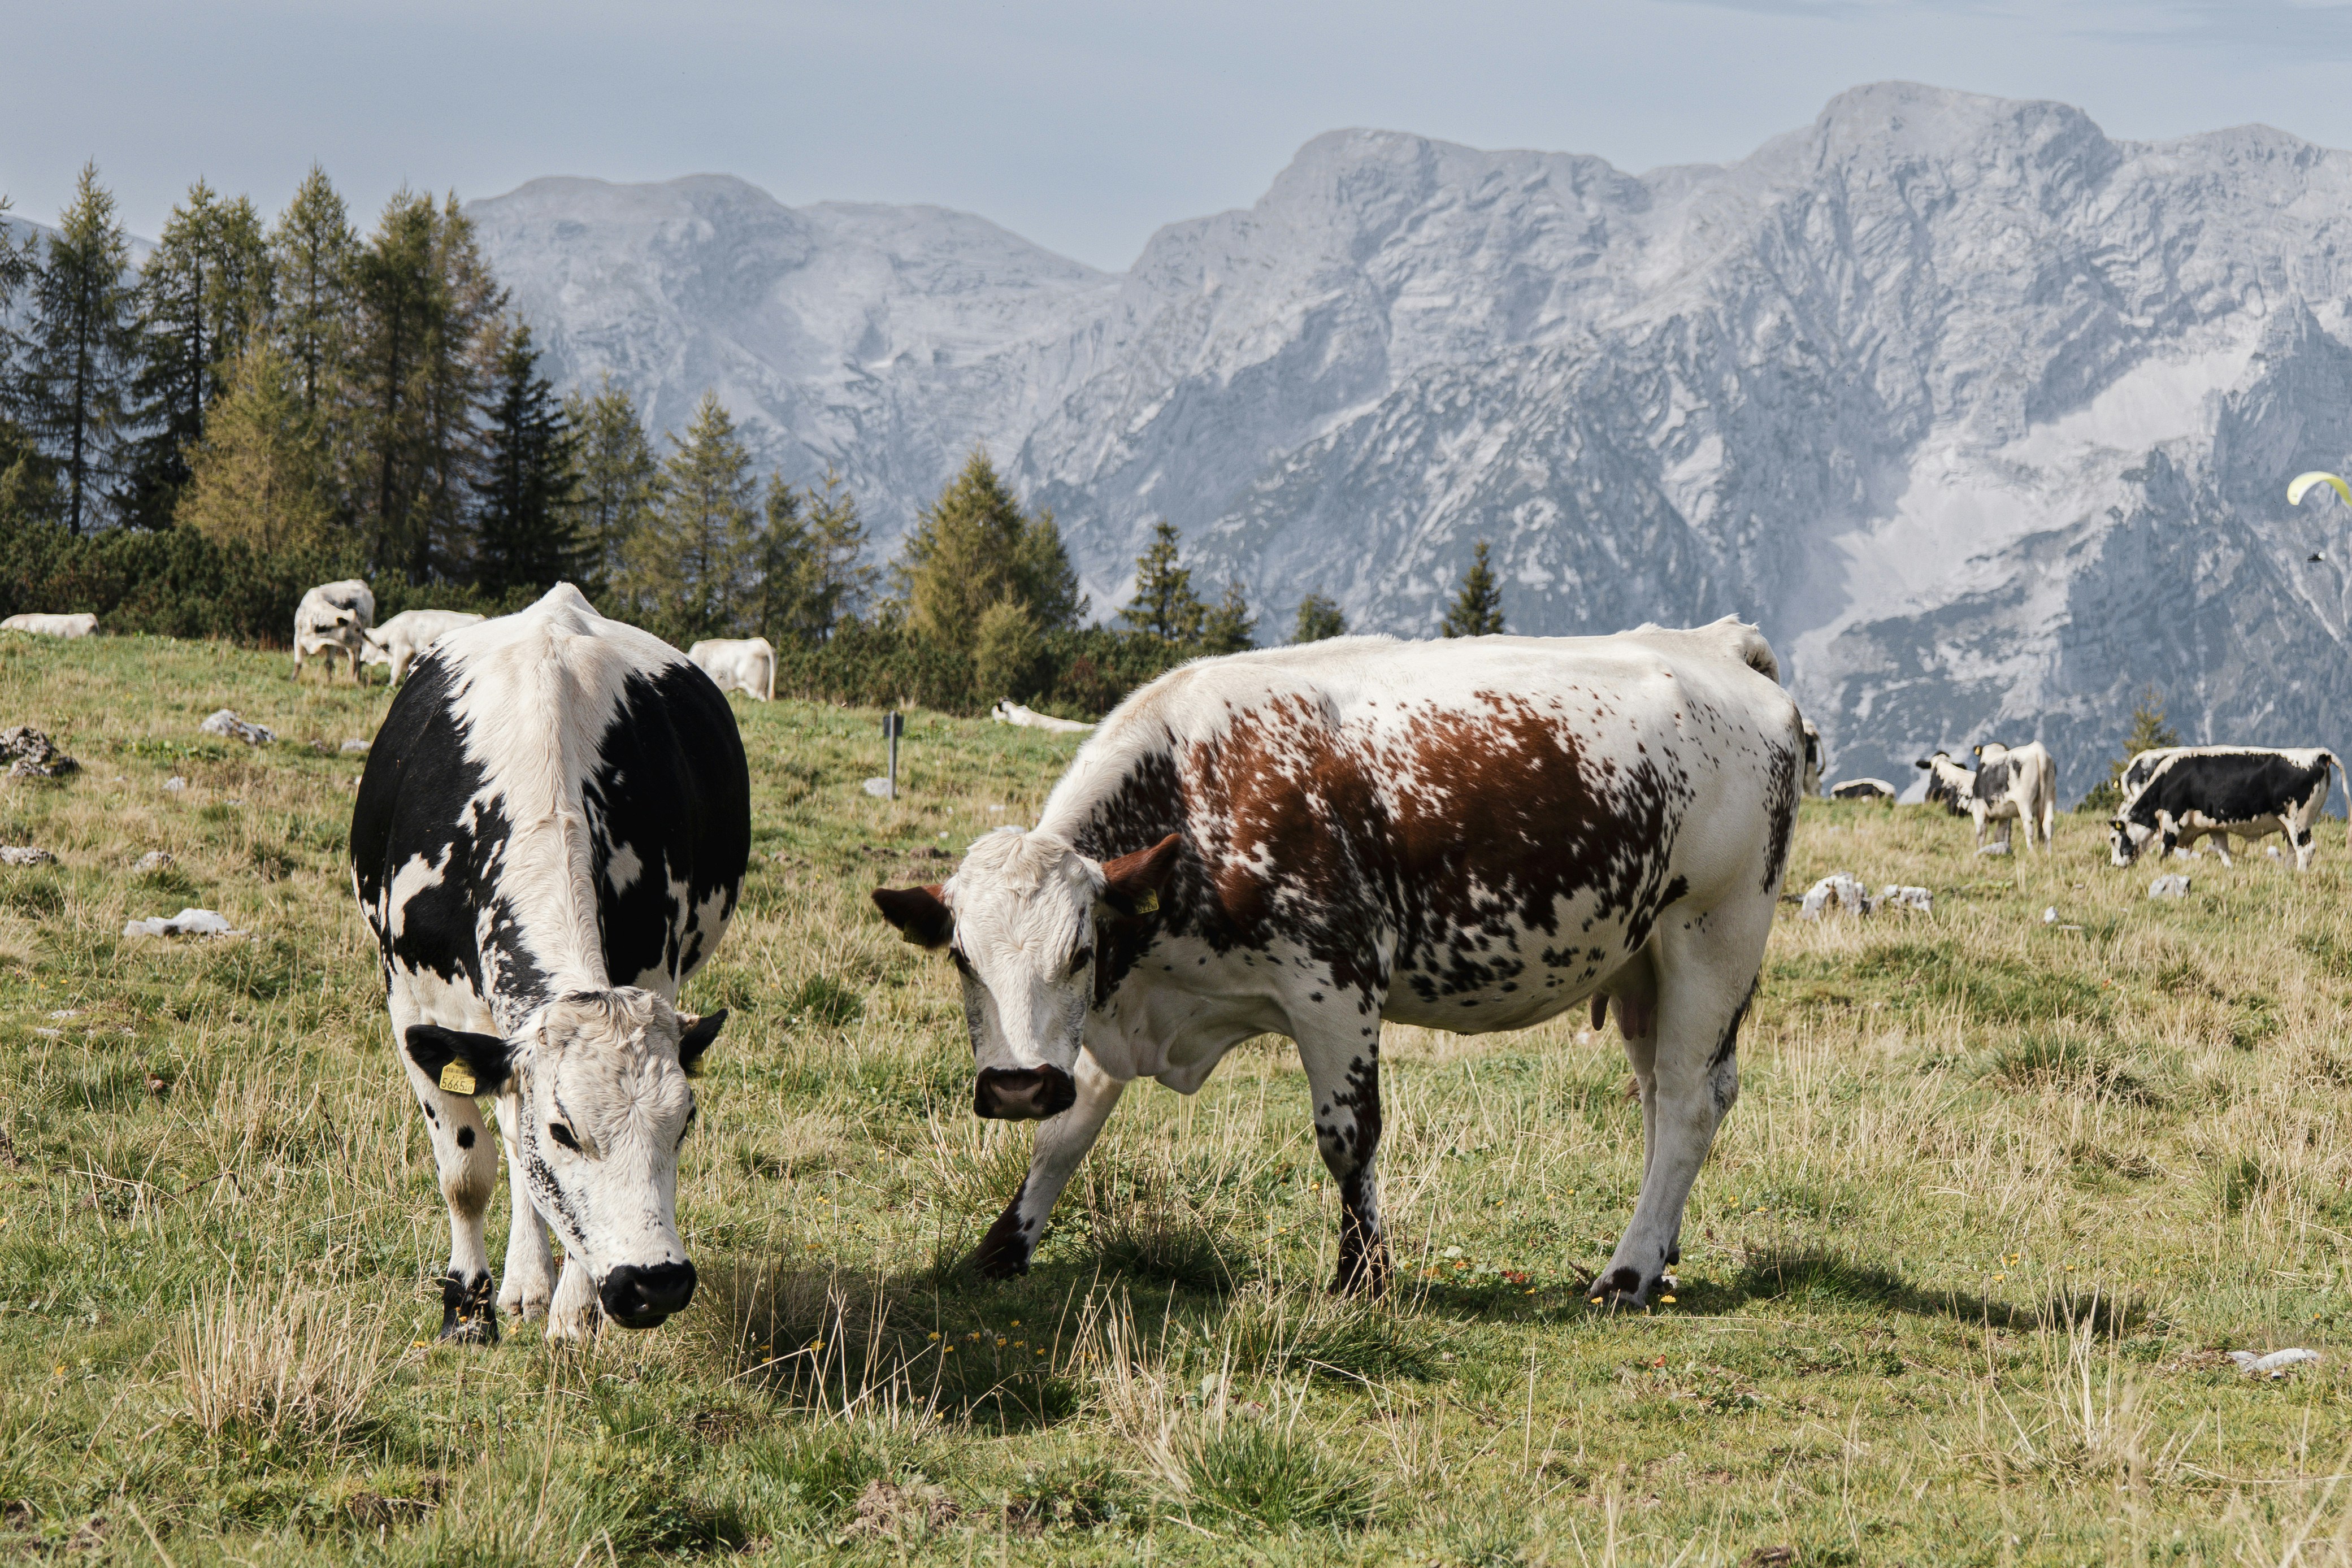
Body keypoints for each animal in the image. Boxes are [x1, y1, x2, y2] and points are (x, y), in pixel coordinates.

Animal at [294, 580, 377, 684]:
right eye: (357, 629)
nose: (363, 641)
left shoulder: (332, 642)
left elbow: (329, 664)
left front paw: (329, 682)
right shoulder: (298, 637)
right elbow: (298, 662)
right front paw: (293, 680)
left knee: (358, 660)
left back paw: (356, 679)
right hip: (350, 645)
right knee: (353, 660)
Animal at [361, 609, 485, 686]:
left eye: (365, 645)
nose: (362, 659)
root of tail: (480, 618)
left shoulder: (402, 650)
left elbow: (395, 671)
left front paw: (391, 686)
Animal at [872, 617, 1802, 1309]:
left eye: (1078, 949)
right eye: (961, 957)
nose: (1015, 1086)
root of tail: (1717, 642)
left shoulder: (1336, 983)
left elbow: (1348, 1136)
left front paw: (1362, 1278)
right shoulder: (1121, 1012)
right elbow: (1066, 1138)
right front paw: (1003, 1246)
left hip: (1713, 933)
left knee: (1688, 1100)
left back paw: (1626, 1273)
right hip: (1641, 960)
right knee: (1658, 1098)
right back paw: (1658, 1252)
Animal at [2108, 747, 2340, 870]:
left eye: (2113, 839)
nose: (2116, 865)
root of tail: (2319, 754)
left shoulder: (2172, 820)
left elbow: (2166, 849)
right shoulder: (2214, 827)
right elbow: (2223, 851)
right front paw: (2230, 869)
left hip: (2299, 822)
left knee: (2306, 849)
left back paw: (2300, 874)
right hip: (2291, 826)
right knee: (2293, 850)